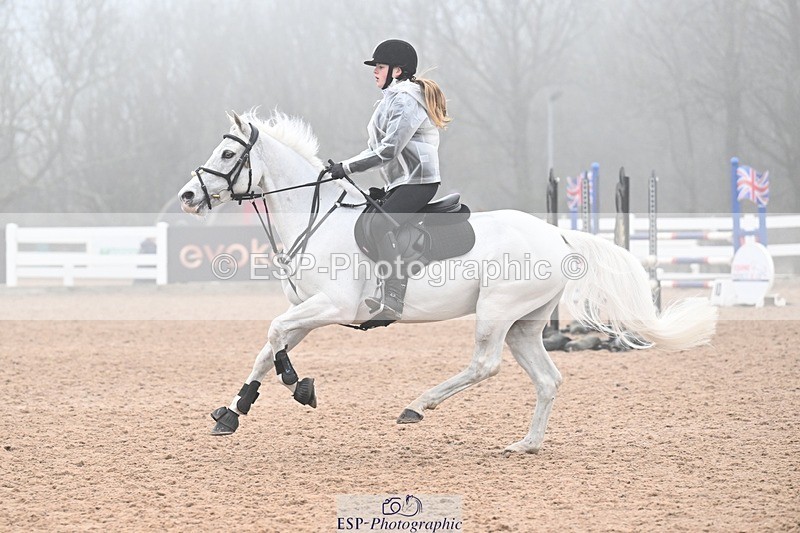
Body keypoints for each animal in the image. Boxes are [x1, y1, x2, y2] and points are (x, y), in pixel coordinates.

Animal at [178, 110, 718, 454]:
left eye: (226, 153)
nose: (187, 196)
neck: (316, 220)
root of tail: (560, 236)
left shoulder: (332, 307)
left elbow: (273, 336)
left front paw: (298, 386)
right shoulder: (310, 312)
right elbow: (268, 347)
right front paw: (234, 411)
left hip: (496, 312)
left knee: (484, 365)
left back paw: (418, 406)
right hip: (524, 324)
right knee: (547, 379)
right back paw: (525, 445)